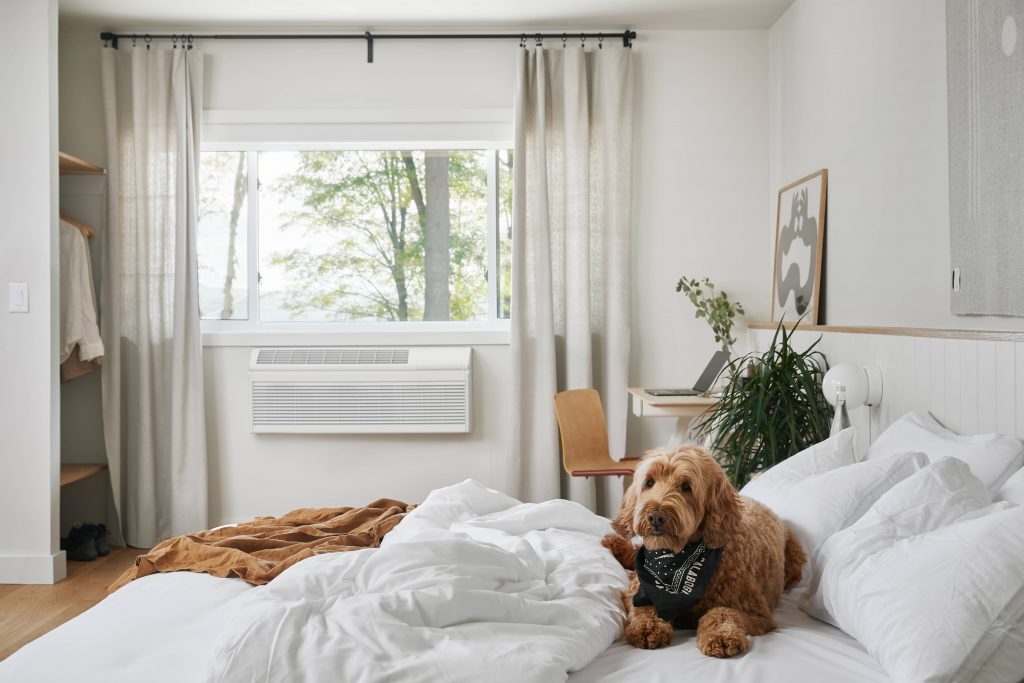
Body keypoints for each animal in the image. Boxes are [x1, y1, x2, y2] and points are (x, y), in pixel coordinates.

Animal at [598, 446, 806, 659]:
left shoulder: (758, 614)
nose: (656, 517)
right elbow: (642, 606)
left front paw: (720, 635)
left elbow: (722, 612)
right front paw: (647, 626)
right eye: (649, 482)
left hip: (794, 559)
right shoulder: (639, 588)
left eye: (686, 486)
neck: (677, 558)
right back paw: (618, 546)